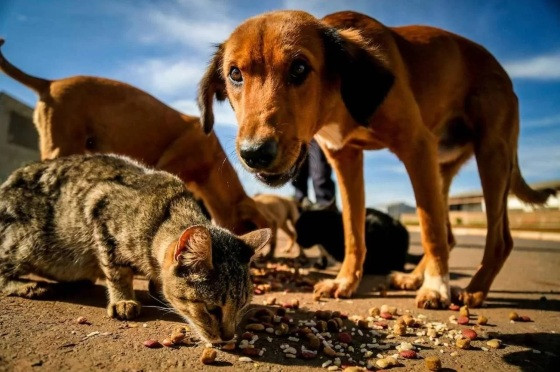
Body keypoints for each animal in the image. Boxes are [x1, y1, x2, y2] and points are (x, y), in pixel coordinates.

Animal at [0, 155, 272, 342]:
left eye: (242, 306)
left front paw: (156, 288)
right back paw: (26, 286)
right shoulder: (101, 213)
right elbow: (117, 272)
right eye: (212, 309)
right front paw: (123, 300)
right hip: (27, 243)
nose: (228, 338)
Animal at [198, 10, 556, 308]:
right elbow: (353, 230)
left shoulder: (416, 146)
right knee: (450, 232)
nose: (255, 153)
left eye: (299, 67)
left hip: (491, 155)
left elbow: (428, 227)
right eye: (234, 74)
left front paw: (437, 288)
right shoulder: (345, 159)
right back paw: (412, 277)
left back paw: (473, 289)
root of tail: (503, 72)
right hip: (442, 168)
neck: (342, 99)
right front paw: (346, 281)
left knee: (497, 239)